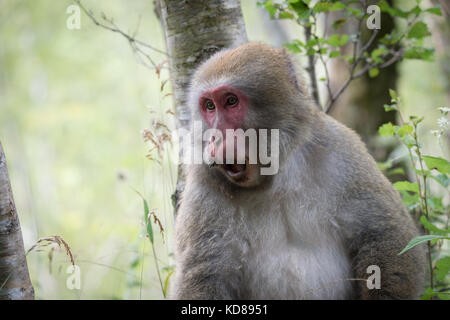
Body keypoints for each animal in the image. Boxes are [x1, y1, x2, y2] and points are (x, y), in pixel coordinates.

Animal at [169, 42, 426, 300]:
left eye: (231, 101)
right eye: (210, 106)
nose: (214, 137)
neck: (274, 177)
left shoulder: (341, 149)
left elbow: (383, 235)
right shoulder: (204, 185)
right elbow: (206, 275)